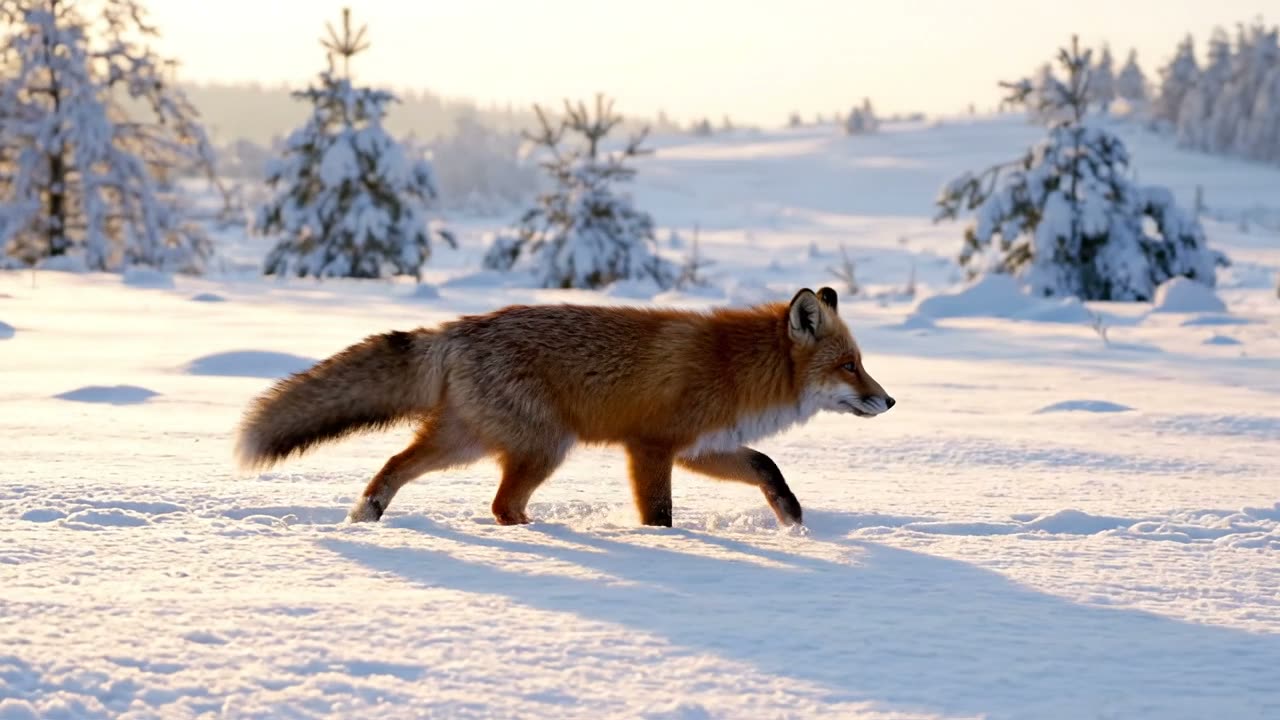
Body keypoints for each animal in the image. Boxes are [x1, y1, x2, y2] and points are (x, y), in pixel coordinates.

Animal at [234, 286, 894, 527]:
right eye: (850, 366)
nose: (888, 399)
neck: (735, 367)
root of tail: (456, 330)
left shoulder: (701, 448)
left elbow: (766, 467)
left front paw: (793, 520)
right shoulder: (650, 447)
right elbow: (659, 515)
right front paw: (664, 548)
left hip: (468, 442)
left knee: (398, 467)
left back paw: (366, 516)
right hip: (545, 446)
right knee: (501, 504)